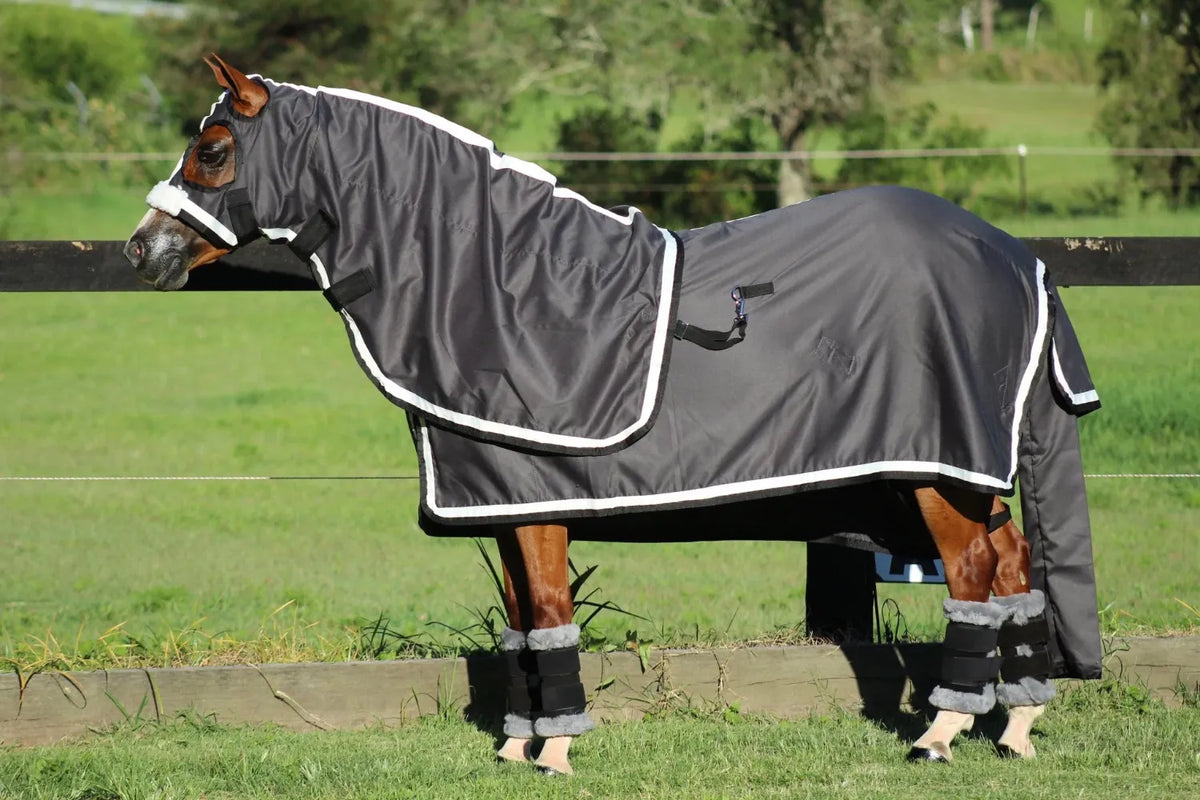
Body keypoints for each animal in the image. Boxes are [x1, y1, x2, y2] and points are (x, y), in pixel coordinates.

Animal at [125, 55, 1102, 775]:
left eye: (213, 149)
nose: (141, 251)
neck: (498, 280)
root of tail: (1015, 256)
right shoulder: (504, 501)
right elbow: (523, 620)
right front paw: (517, 746)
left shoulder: (537, 501)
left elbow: (553, 610)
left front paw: (556, 750)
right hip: (938, 475)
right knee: (1014, 565)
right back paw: (1014, 729)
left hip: (933, 473)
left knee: (972, 573)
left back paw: (940, 735)